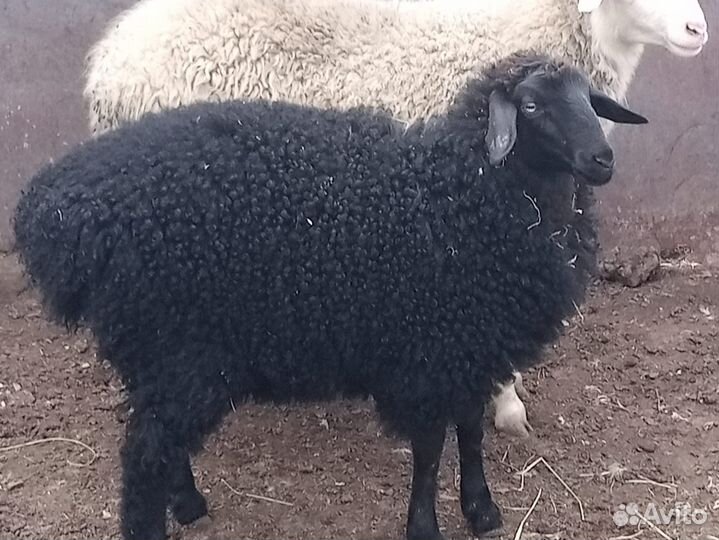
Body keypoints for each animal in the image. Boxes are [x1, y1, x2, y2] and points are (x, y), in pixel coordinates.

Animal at [16, 52, 648, 540]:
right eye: (533, 107)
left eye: (590, 100)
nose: (602, 159)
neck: (460, 192)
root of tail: (54, 211)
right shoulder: (428, 351)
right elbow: (429, 449)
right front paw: (424, 525)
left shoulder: (470, 345)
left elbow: (469, 433)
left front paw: (482, 510)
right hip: (181, 350)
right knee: (144, 456)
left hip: (154, 354)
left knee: (159, 440)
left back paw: (189, 504)